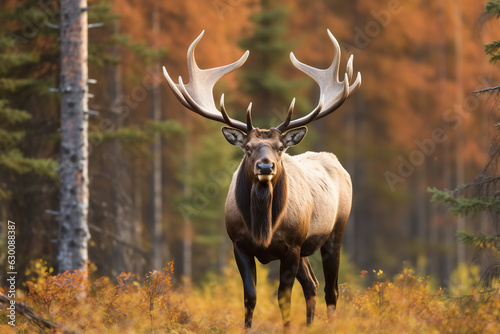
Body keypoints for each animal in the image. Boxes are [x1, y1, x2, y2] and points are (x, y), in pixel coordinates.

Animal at [162, 29, 362, 328]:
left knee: (331, 289)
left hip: (335, 231)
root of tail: (337, 163)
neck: (262, 229)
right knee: (312, 285)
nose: (266, 166)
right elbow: (250, 298)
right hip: (306, 248)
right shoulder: (239, 245)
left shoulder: (291, 247)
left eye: (280, 147)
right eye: (248, 147)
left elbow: (283, 298)